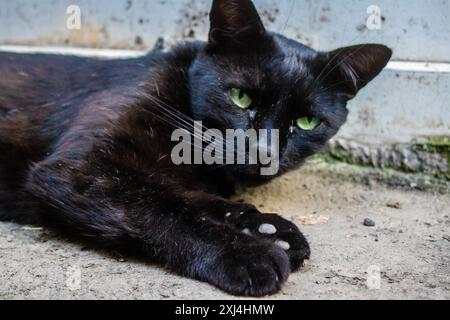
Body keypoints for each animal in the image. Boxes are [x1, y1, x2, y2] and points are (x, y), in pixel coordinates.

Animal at [0, 0, 390, 296]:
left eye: (308, 121)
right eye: (240, 96)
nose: (264, 150)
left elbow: (180, 194)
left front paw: (267, 228)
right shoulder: (80, 169)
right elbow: (159, 207)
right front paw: (248, 252)